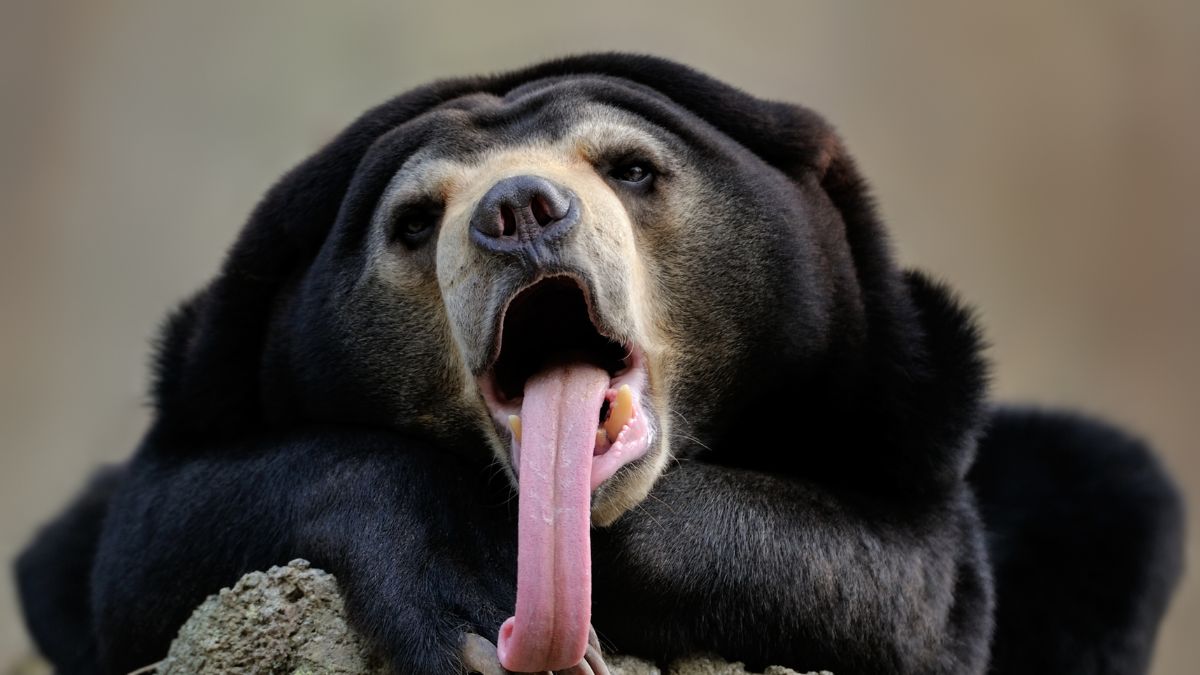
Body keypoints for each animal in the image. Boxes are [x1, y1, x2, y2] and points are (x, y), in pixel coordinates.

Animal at [15, 53, 1184, 675]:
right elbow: (143, 541)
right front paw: (463, 608)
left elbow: (913, 582)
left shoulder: (902, 406)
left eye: (631, 168)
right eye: (413, 220)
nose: (519, 212)